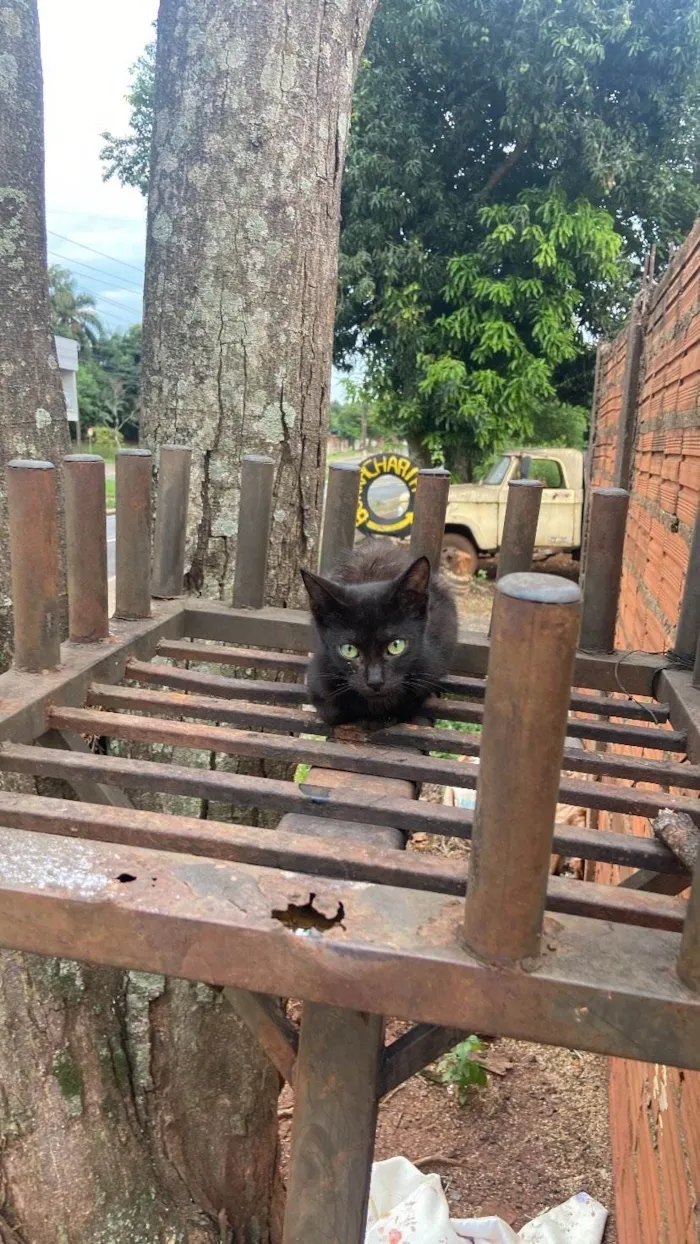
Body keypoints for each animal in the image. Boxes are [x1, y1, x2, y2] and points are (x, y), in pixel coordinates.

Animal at [300, 539, 460, 726]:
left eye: (396, 645)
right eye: (349, 649)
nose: (375, 681)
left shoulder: (433, 659)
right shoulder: (318, 674)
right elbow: (332, 712)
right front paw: (371, 719)